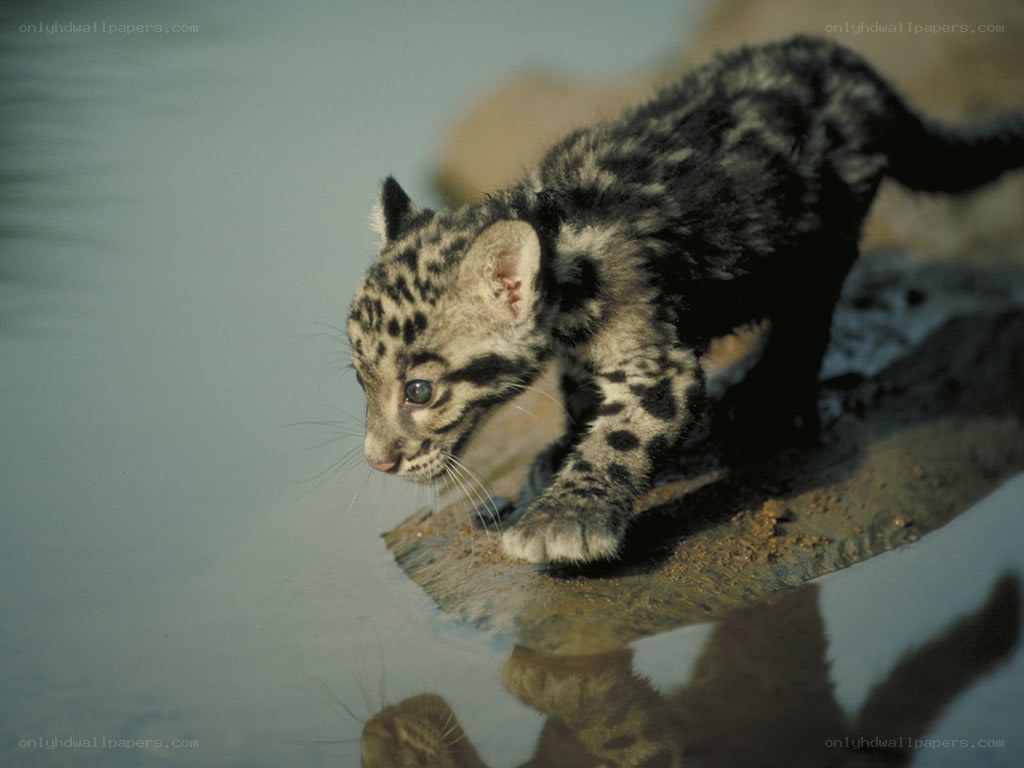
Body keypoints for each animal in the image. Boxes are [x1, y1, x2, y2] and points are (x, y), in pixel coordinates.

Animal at [346, 35, 1024, 564]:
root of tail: (848, 63)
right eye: (360, 381)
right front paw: (564, 447)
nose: (377, 462)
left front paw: (565, 517)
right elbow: (580, 389)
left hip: (828, 230)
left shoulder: (658, 363)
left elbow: (623, 434)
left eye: (419, 391)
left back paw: (769, 403)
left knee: (811, 308)